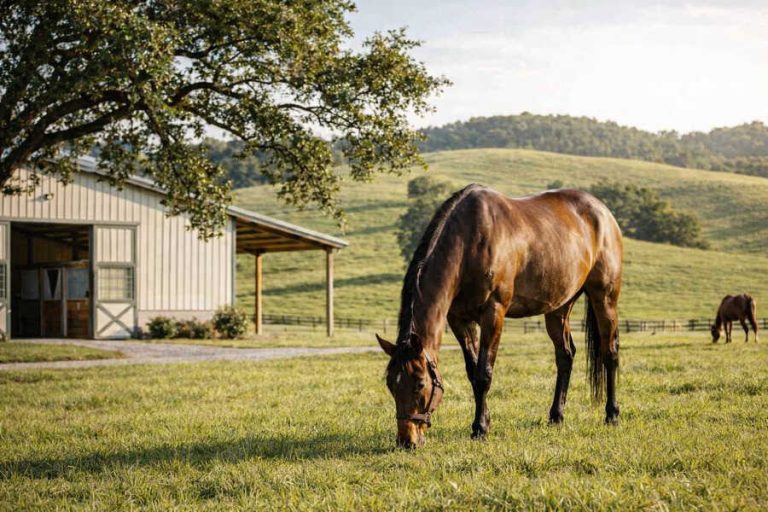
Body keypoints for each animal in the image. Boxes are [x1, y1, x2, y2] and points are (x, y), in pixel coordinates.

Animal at [376, 184, 624, 448]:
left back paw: (612, 414)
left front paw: (480, 428)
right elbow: (473, 372)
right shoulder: (459, 320)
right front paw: (484, 420)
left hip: (605, 298)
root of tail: (603, 212)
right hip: (559, 307)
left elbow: (484, 373)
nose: (406, 441)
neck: (469, 242)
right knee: (565, 356)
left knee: (609, 353)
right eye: (390, 384)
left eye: (420, 384)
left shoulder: (493, 314)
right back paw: (556, 416)